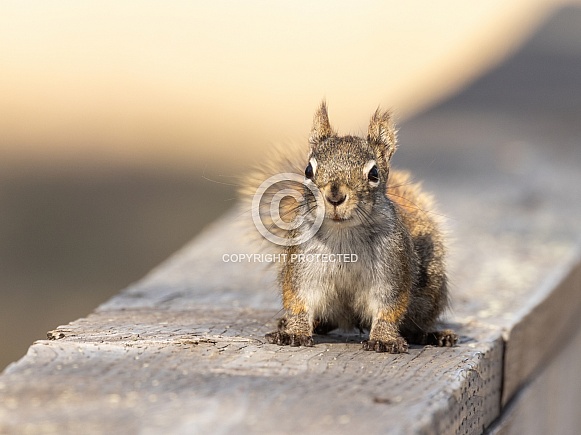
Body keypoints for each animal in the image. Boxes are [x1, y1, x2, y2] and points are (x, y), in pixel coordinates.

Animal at [241, 103, 458, 354]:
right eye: (308, 171)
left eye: (374, 173)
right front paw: (294, 331)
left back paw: (434, 335)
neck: (343, 231)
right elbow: (299, 301)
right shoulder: (302, 265)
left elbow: (389, 308)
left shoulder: (392, 268)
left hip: (430, 293)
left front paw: (384, 338)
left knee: (416, 324)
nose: (335, 196)